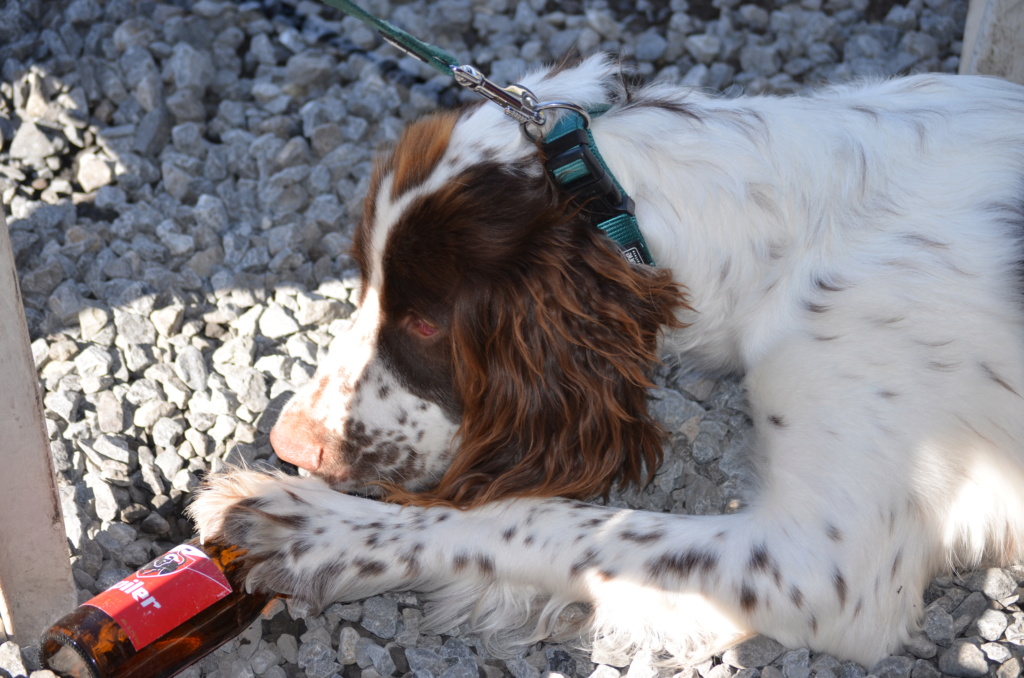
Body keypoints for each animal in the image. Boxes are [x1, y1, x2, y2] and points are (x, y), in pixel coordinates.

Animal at [190, 54, 1024, 667]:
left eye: (425, 322)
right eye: (361, 281)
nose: (291, 442)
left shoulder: (820, 565)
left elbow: (536, 520)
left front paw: (307, 527)